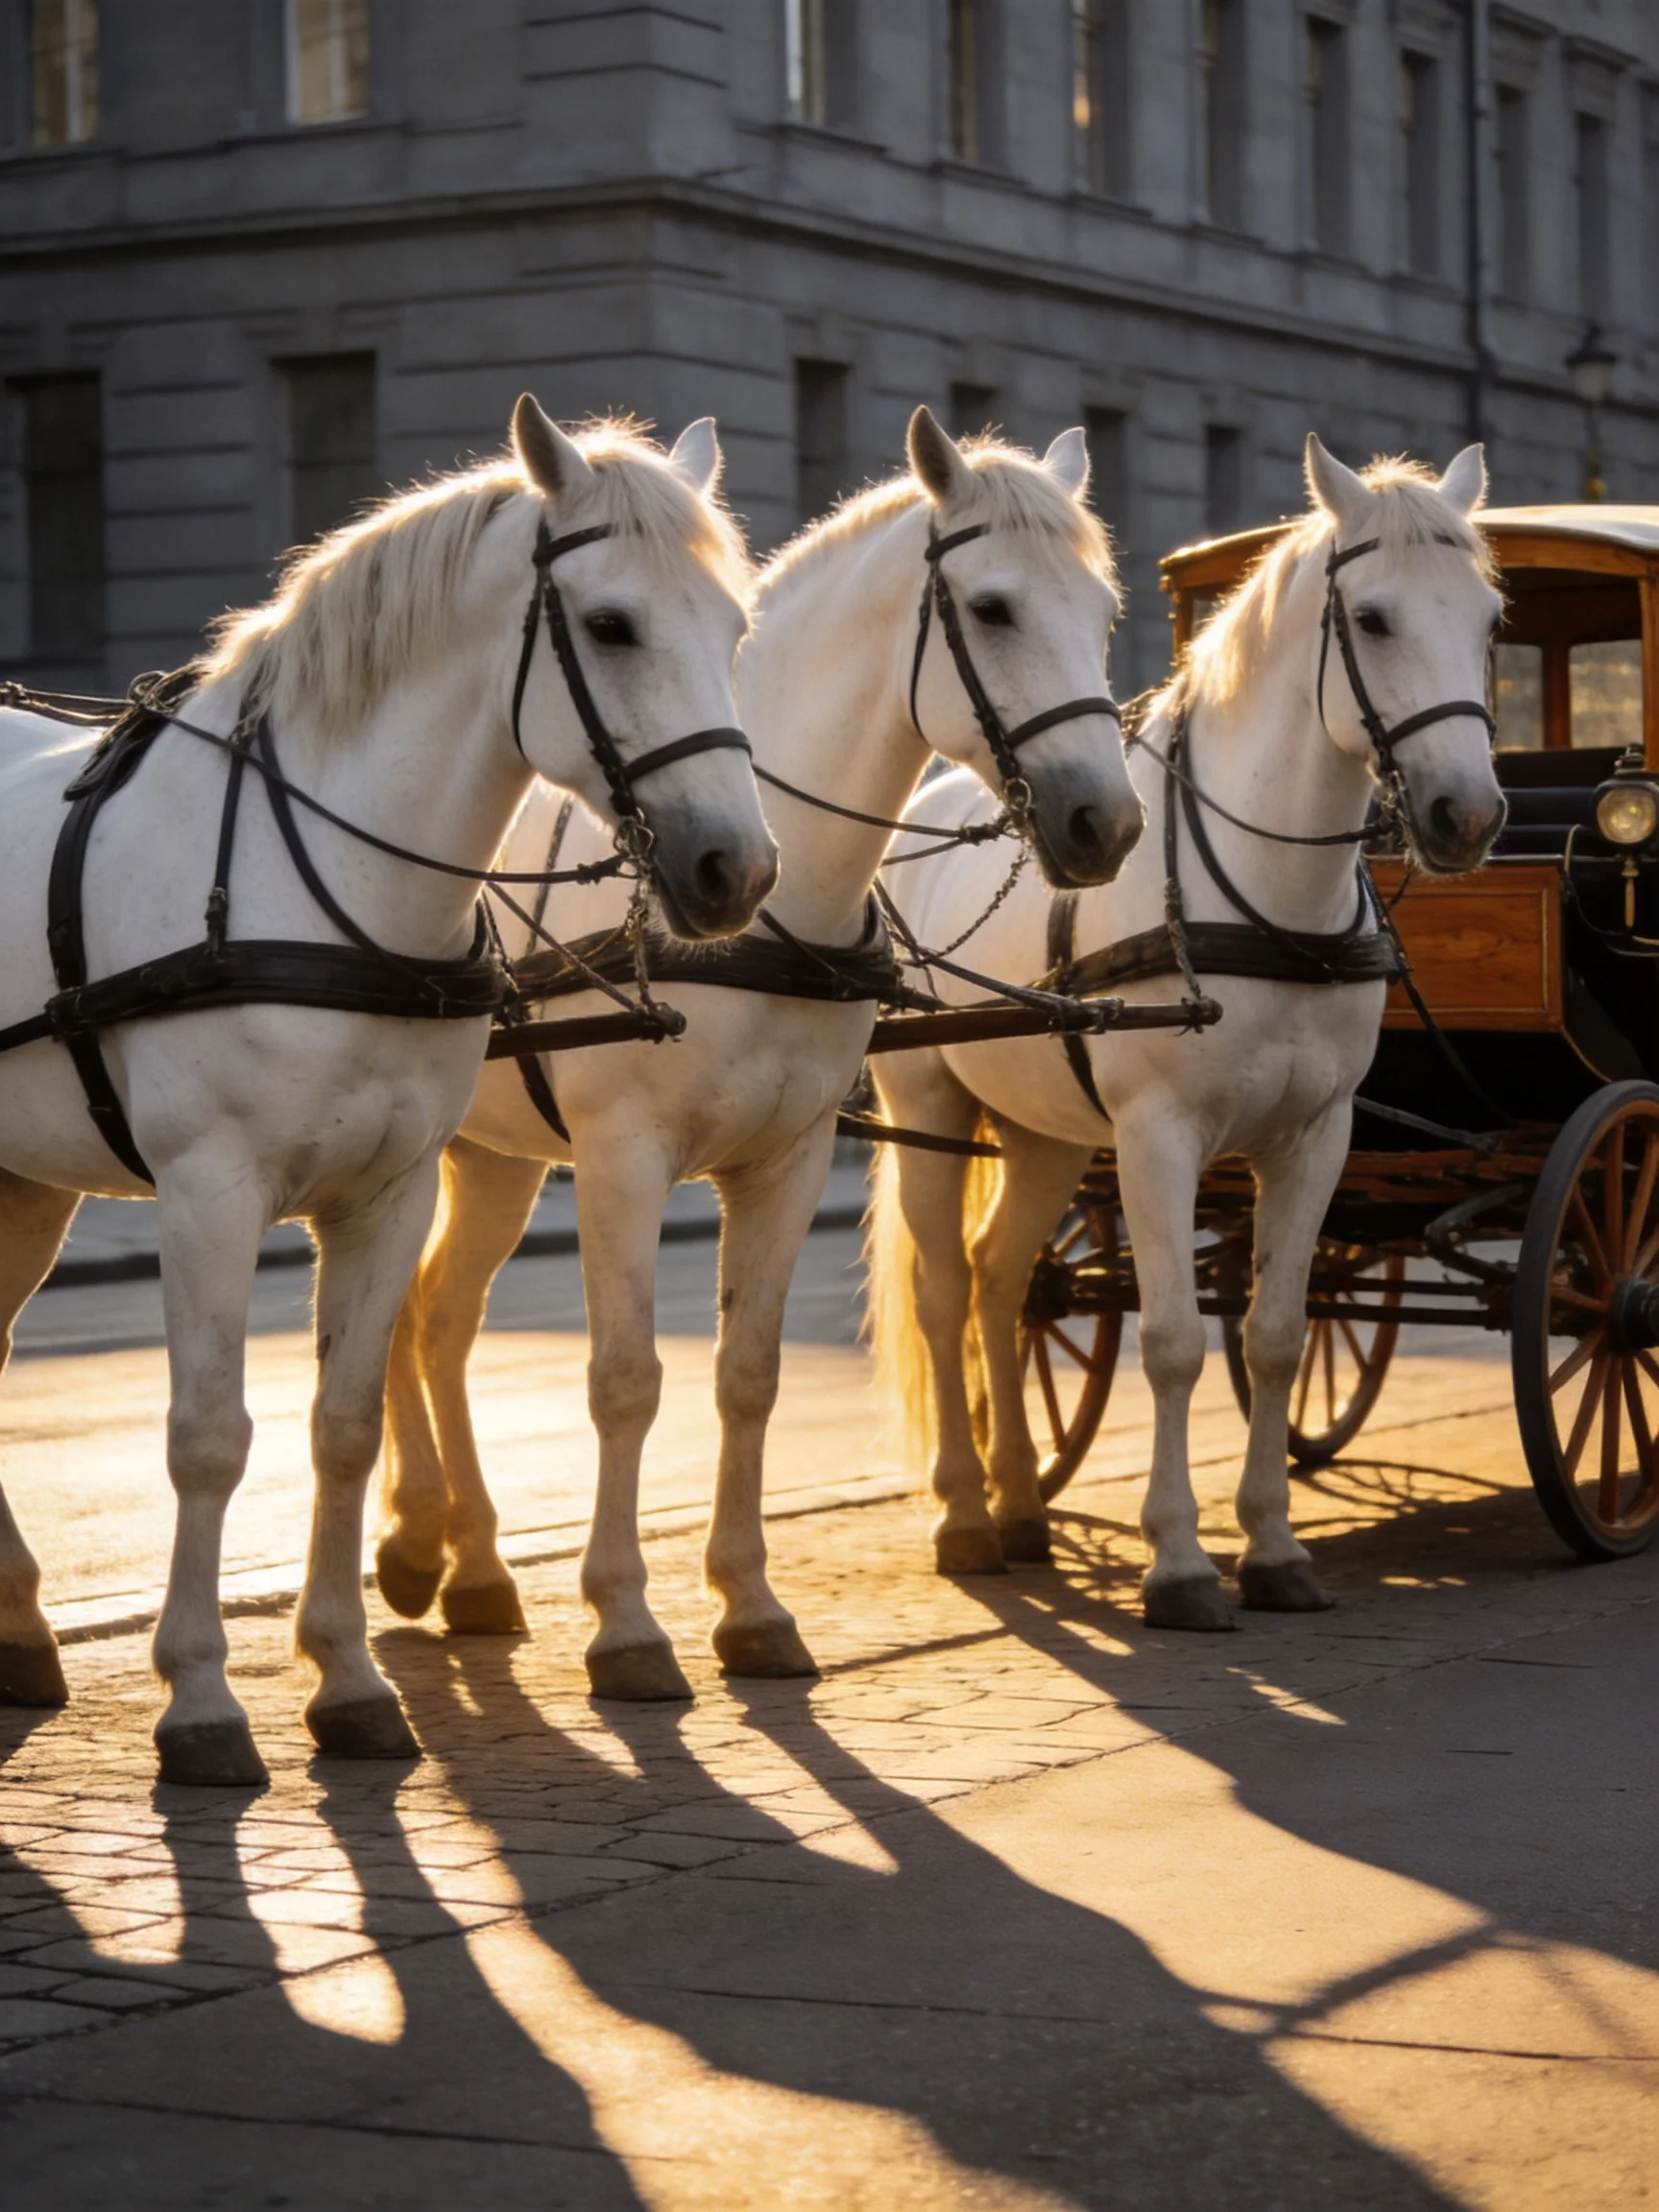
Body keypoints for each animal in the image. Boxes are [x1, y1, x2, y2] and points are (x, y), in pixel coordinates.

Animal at [0, 397, 777, 1784]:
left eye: (734, 629)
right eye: (611, 625)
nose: (731, 869)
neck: (320, 882)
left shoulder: (388, 1192)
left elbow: (344, 1425)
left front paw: (348, 1678)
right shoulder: (209, 1196)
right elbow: (210, 1437)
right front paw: (200, 1697)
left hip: (29, 1181)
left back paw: (22, 1629)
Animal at [374, 405, 1144, 1698]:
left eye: (1102, 615)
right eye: (992, 608)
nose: (1111, 824)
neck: (777, 915)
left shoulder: (786, 1159)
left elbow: (749, 1374)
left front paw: (749, 1606)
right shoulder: (625, 1160)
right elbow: (627, 1381)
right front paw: (626, 1621)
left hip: (492, 1153)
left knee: (432, 1316)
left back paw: (463, 1558)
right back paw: (423, 1544)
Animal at [867, 436, 1505, 1628]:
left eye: (1491, 620)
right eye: (1375, 619)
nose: (1471, 816)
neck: (1270, 898)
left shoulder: (1316, 1138)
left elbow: (1275, 1335)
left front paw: (1274, 1547)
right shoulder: (1157, 1137)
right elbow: (1169, 1344)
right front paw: (1179, 1561)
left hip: (1044, 1134)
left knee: (1002, 1280)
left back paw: (1019, 1506)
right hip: (931, 1099)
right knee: (943, 1292)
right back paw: (967, 1514)